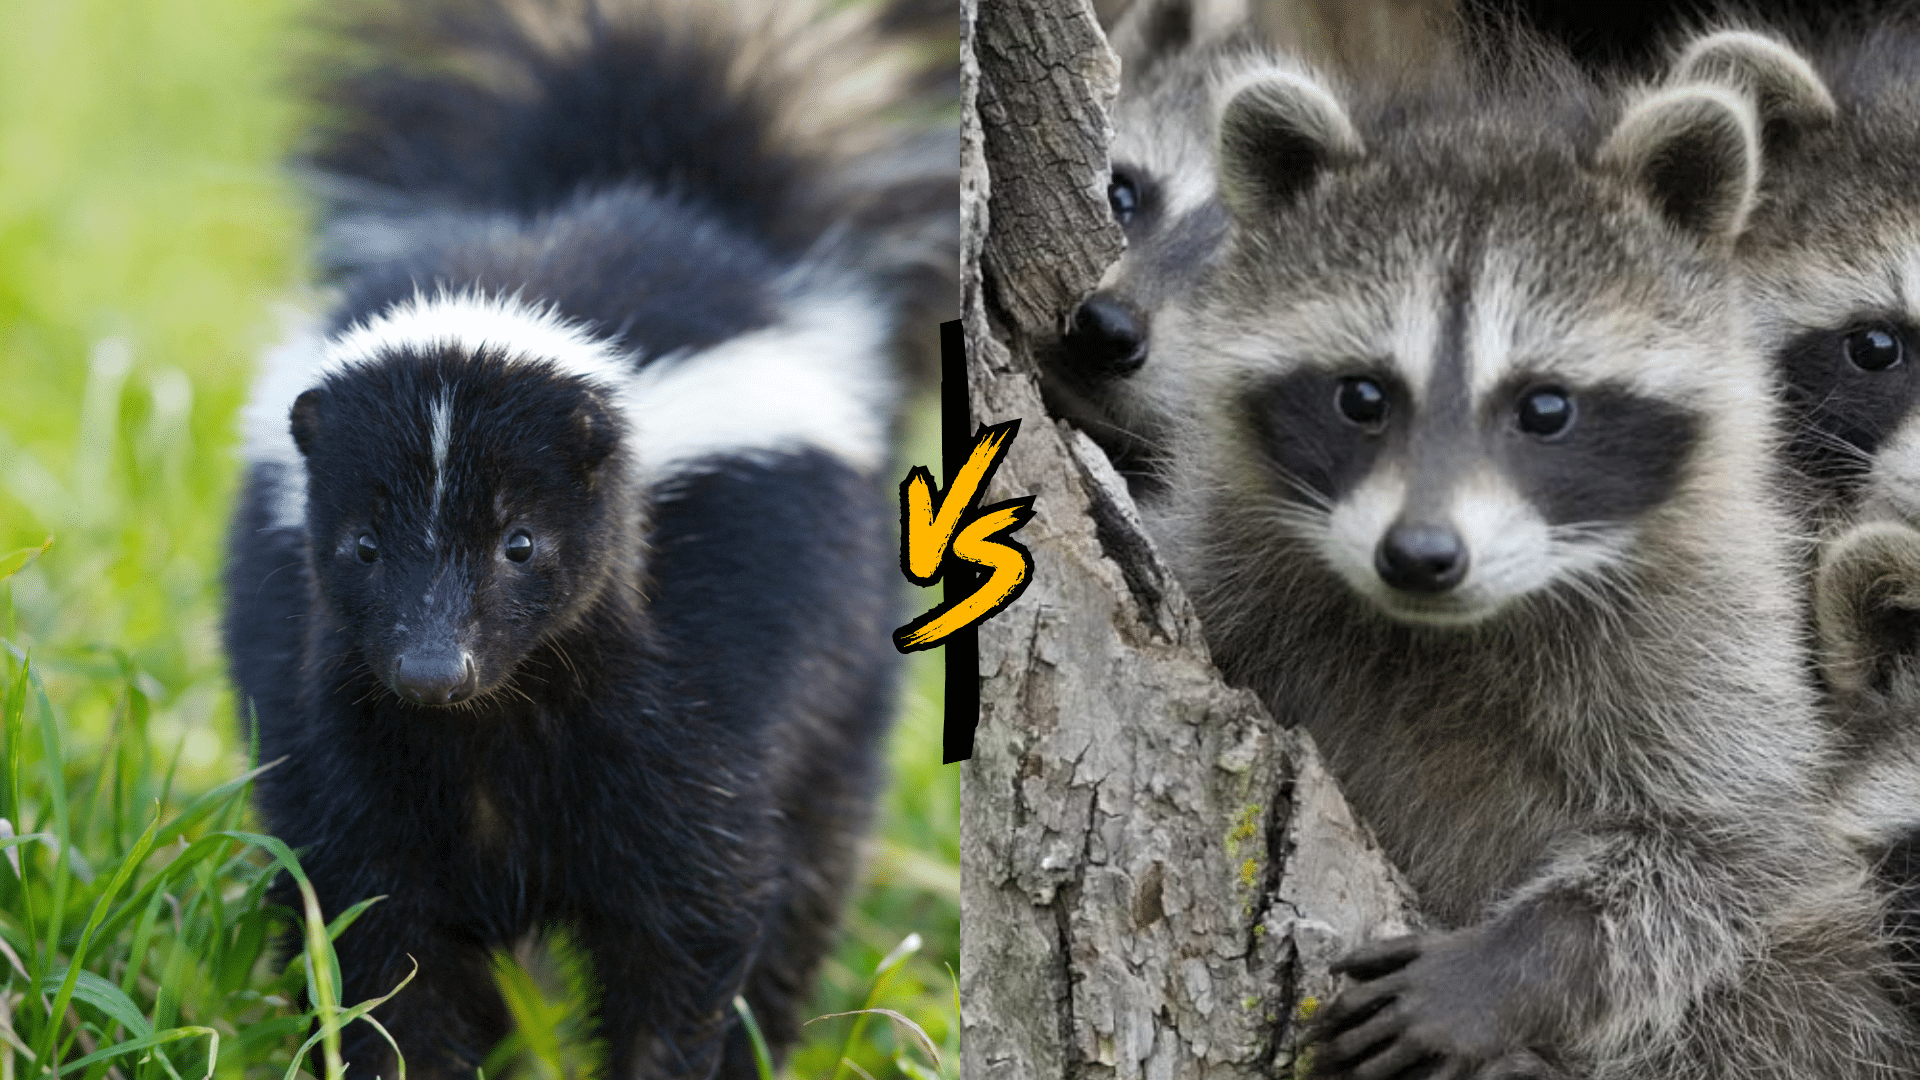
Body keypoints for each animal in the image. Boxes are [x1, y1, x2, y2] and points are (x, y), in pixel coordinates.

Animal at [222, 0, 951, 1075]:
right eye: (362, 546)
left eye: (521, 543)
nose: (432, 669)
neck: (493, 732)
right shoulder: (351, 744)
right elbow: (376, 937)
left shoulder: (693, 708)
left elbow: (692, 922)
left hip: (841, 667)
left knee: (817, 859)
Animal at [1142, 47, 1918, 1078]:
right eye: (1361, 397)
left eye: (1546, 408)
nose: (1421, 554)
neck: (1446, 630)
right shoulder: (1227, 559)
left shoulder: (1718, 644)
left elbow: (1729, 850)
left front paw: (1508, 967)